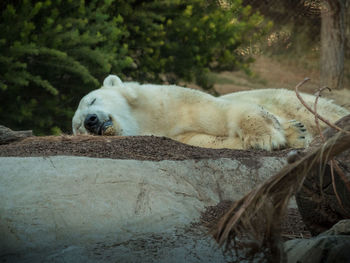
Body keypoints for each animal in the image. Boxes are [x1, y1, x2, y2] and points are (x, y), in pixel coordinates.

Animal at [72, 75, 348, 152]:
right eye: (77, 128)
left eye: (92, 99)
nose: (90, 120)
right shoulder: (177, 135)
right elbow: (207, 140)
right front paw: (294, 134)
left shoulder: (175, 102)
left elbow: (224, 112)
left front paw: (267, 137)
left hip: (291, 98)